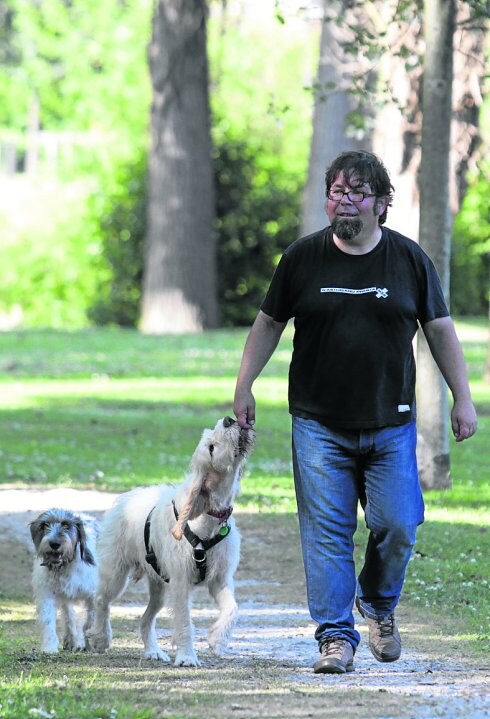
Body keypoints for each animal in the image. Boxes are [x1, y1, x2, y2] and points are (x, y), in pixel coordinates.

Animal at [29, 510, 98, 656]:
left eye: (66, 525)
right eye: (44, 525)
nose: (54, 544)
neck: (65, 566)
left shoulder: (94, 594)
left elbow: (91, 619)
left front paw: (91, 641)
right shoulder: (46, 593)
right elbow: (48, 619)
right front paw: (49, 647)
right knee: (68, 614)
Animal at [87, 420, 255, 668]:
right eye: (211, 447)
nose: (229, 419)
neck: (208, 519)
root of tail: (127, 496)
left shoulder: (220, 580)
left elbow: (232, 609)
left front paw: (217, 639)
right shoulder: (181, 583)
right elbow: (184, 621)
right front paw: (187, 657)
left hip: (160, 587)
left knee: (145, 620)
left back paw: (153, 651)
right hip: (116, 574)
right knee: (101, 600)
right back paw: (101, 638)